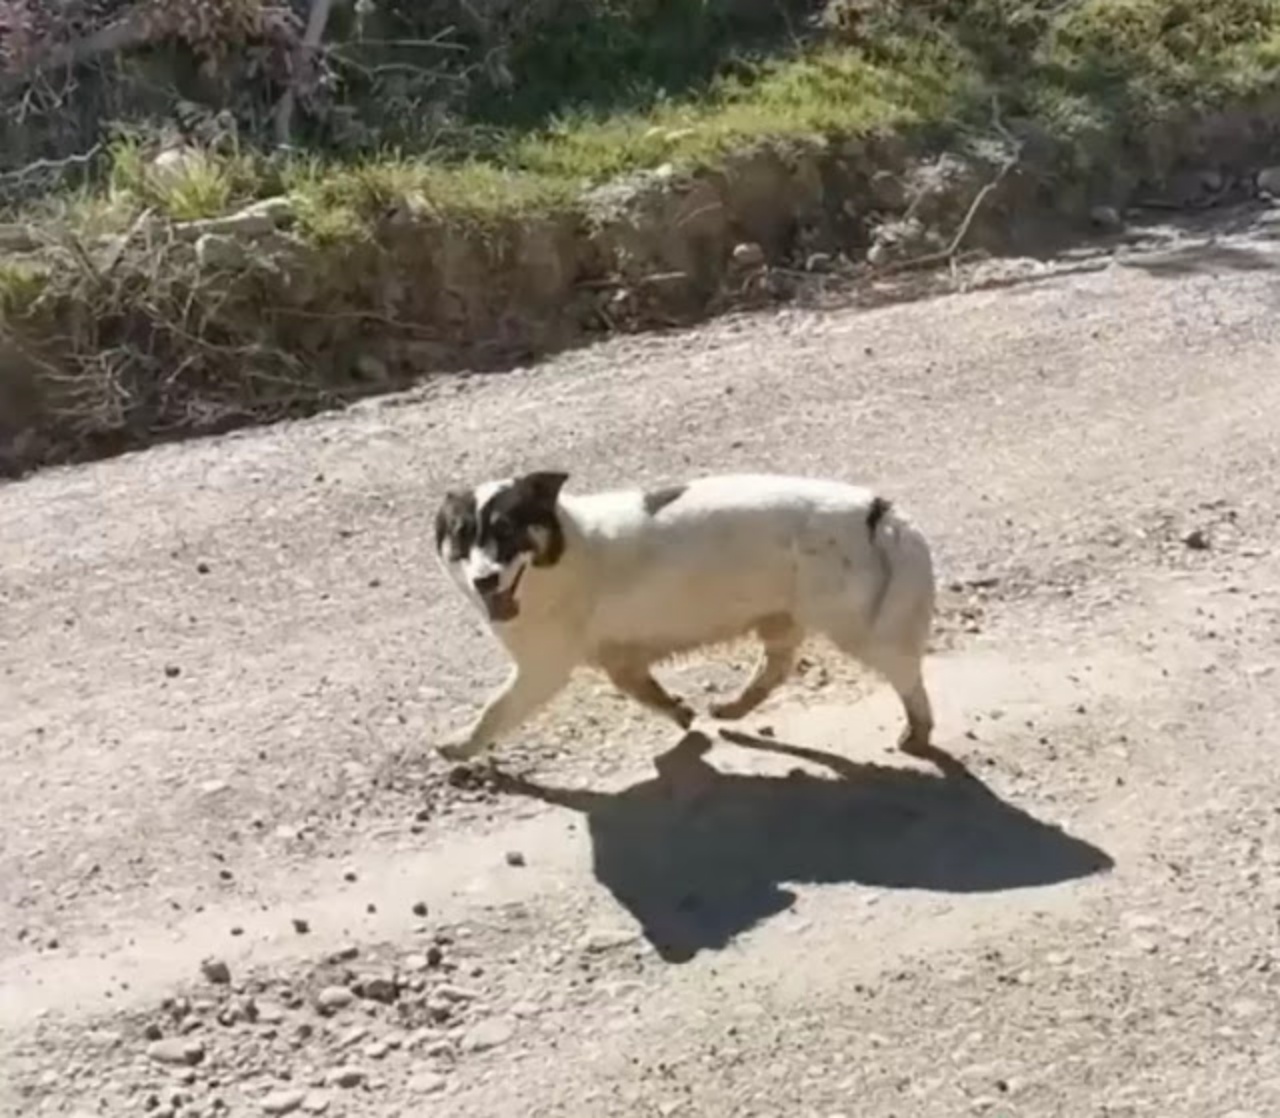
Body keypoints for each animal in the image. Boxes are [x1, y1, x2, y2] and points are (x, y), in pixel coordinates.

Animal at [435, 466, 936, 763]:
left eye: (507, 531)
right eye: (461, 536)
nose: (484, 580)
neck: (566, 548)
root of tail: (878, 510)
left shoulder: (543, 669)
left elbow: (494, 710)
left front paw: (460, 745)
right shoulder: (620, 660)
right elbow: (646, 691)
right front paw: (679, 712)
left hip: (860, 629)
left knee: (909, 678)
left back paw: (918, 731)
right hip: (783, 616)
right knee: (775, 668)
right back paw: (733, 707)